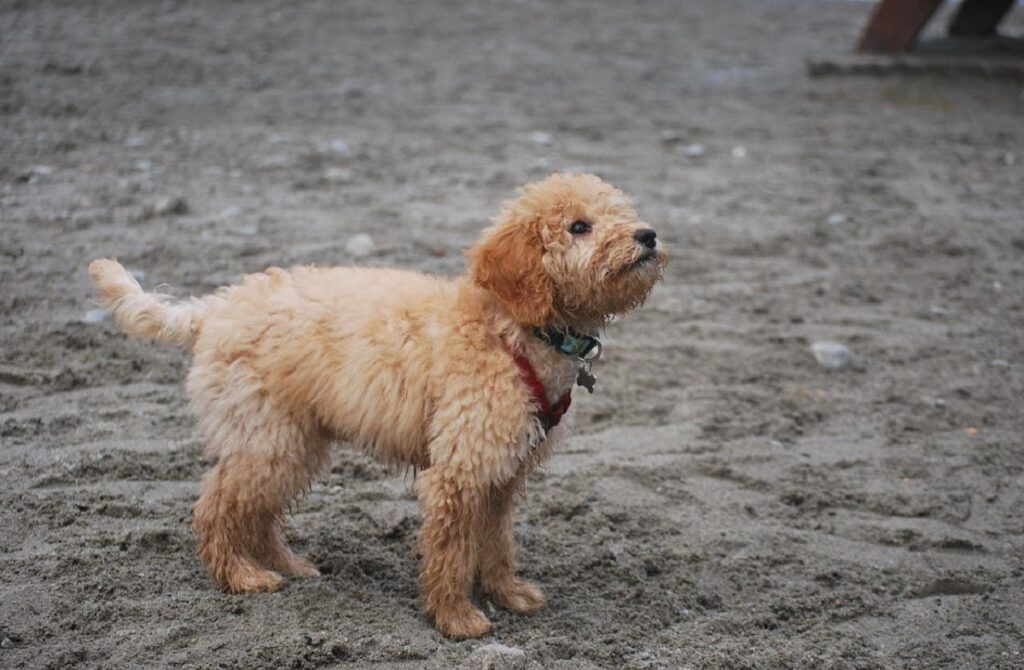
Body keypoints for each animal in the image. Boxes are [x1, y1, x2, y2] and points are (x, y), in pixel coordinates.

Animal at [88, 173, 663, 639]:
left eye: (620, 212)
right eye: (579, 227)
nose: (648, 235)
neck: (511, 329)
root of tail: (214, 309)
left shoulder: (501, 473)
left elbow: (497, 542)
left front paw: (508, 594)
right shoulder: (459, 470)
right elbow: (451, 551)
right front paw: (456, 618)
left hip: (292, 441)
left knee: (255, 514)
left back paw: (288, 565)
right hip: (268, 438)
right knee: (215, 508)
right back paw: (241, 576)